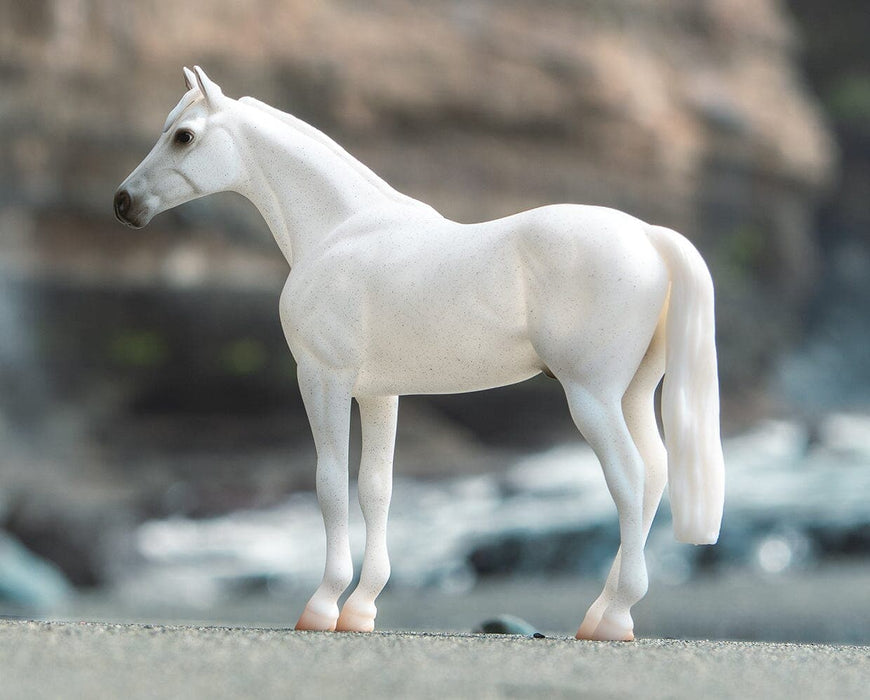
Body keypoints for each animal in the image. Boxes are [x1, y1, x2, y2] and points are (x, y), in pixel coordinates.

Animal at [117, 68, 728, 644]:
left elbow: (329, 484)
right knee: (654, 472)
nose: (123, 203)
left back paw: (615, 618)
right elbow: (376, 489)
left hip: (592, 397)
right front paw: (361, 610)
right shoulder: (378, 393)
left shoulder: (322, 378)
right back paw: (601, 613)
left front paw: (323, 606)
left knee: (629, 476)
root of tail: (649, 236)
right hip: (632, 394)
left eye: (183, 136)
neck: (341, 230)